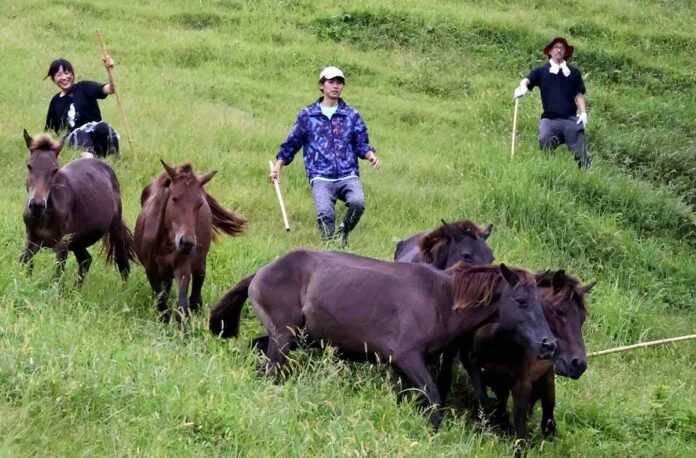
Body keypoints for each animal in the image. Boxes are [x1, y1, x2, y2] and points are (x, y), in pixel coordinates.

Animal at [20, 129, 135, 282]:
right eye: (29, 166)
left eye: (55, 169)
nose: (37, 205)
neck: (45, 215)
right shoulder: (31, 241)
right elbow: (26, 267)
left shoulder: (61, 247)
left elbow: (57, 278)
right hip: (78, 241)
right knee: (85, 260)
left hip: (114, 227)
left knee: (123, 264)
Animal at [135, 161, 246, 322]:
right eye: (174, 198)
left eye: (199, 204)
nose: (186, 243)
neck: (165, 244)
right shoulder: (151, 269)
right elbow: (160, 297)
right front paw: (164, 318)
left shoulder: (183, 267)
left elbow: (181, 300)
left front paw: (182, 322)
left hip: (200, 261)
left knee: (197, 284)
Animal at [207, 247, 556, 430]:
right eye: (521, 301)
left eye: (542, 304)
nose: (548, 345)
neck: (441, 299)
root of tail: (261, 272)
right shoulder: (408, 357)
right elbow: (433, 396)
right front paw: (432, 432)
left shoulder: (400, 367)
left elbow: (407, 397)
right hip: (284, 337)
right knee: (269, 368)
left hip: (288, 338)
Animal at [460, 270, 596, 442]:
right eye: (558, 312)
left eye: (582, 318)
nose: (578, 365)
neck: (499, 341)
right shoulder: (473, 364)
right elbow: (484, 401)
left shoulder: (522, 385)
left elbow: (520, 429)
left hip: (546, 381)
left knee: (548, 418)